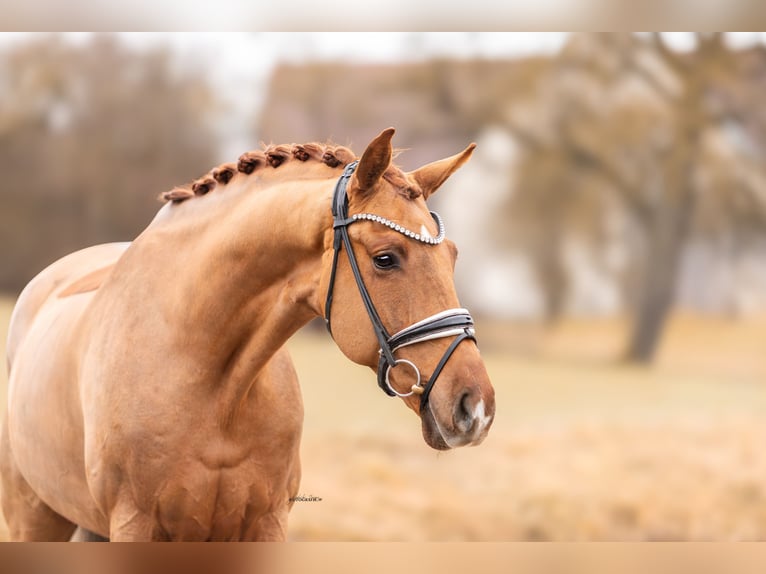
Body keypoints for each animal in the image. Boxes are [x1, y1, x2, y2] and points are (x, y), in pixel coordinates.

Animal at [0, 128, 495, 541]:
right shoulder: (133, 525)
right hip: (35, 518)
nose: (476, 408)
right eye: (386, 258)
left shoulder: (265, 524)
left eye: (452, 256)